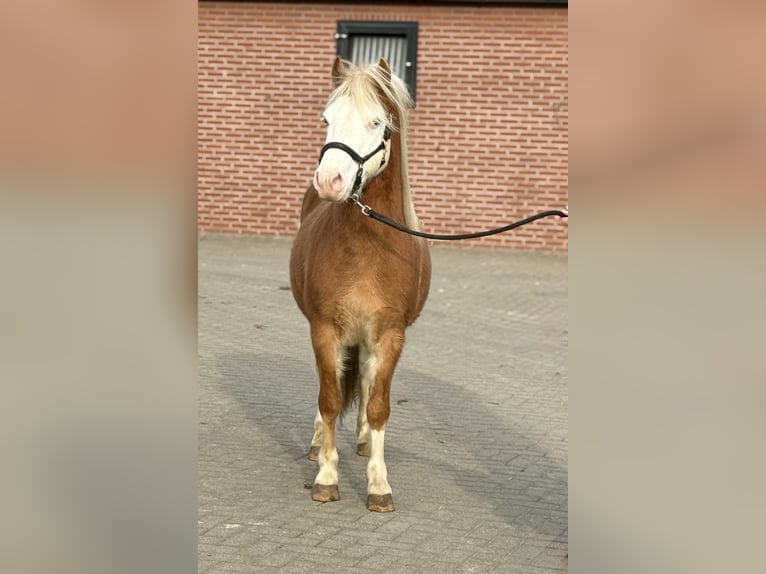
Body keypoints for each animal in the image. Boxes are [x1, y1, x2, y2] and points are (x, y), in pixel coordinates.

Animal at [289, 57, 431, 512]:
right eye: (327, 119)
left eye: (376, 123)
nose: (329, 180)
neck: (367, 251)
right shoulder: (324, 330)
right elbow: (330, 398)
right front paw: (326, 477)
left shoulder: (390, 335)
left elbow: (379, 404)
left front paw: (378, 485)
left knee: (366, 384)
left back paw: (365, 440)